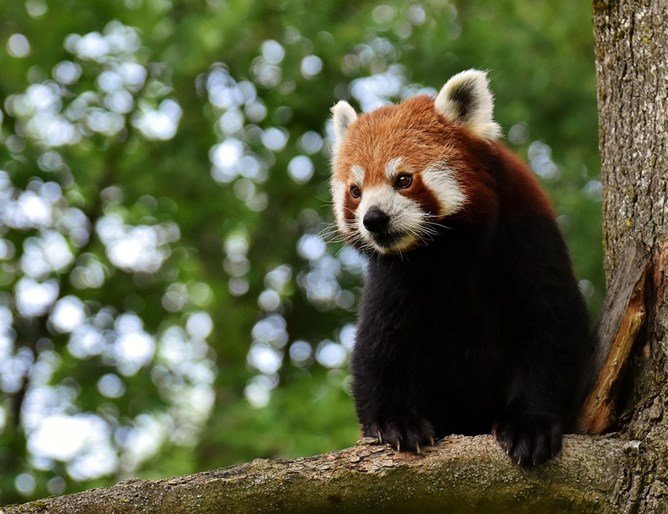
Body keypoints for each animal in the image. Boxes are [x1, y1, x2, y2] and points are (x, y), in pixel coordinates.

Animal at [332, 70, 592, 466]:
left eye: (403, 179)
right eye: (356, 191)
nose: (373, 219)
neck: (445, 251)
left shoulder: (527, 239)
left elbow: (550, 328)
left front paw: (529, 426)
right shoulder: (394, 277)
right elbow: (379, 345)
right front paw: (396, 423)